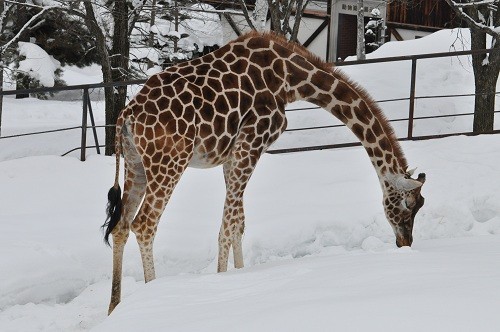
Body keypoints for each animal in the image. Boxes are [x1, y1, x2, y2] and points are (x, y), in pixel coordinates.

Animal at [101, 30, 426, 314]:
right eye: (407, 206)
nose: (406, 243)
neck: (290, 80)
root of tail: (126, 116)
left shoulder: (233, 154)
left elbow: (238, 223)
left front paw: (241, 275)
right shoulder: (252, 141)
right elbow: (227, 225)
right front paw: (222, 282)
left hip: (135, 164)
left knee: (121, 225)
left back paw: (115, 307)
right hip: (169, 161)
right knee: (145, 224)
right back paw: (151, 296)